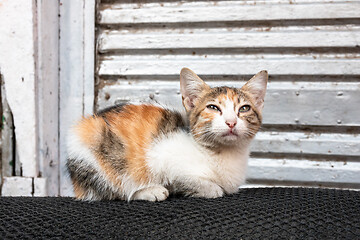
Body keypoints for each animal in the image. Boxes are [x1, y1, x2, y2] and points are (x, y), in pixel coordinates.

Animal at [67, 67, 268, 201]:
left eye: (244, 108)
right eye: (213, 107)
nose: (231, 122)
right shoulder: (162, 156)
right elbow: (191, 181)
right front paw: (209, 188)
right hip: (94, 142)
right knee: (115, 190)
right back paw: (149, 191)